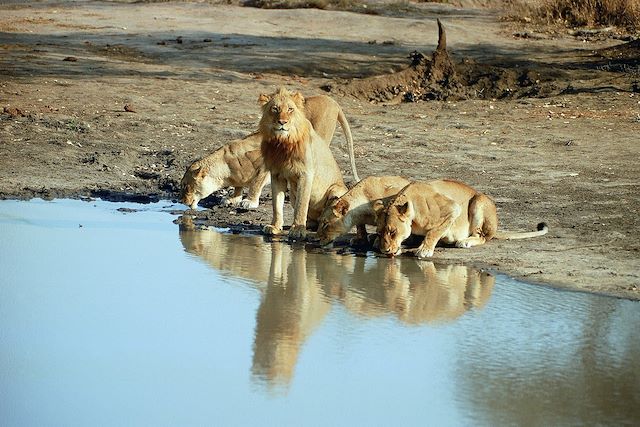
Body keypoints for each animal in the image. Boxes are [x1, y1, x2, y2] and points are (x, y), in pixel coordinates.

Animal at [258, 87, 352, 241]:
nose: (282, 122)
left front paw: (297, 230)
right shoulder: (277, 174)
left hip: (337, 190)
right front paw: (275, 227)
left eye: (290, 109)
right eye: (275, 109)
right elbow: (276, 204)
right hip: (293, 195)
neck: (282, 143)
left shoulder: (306, 174)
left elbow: (301, 205)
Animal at [376, 180, 552, 260]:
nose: (385, 251)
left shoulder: (452, 208)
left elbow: (434, 232)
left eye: (392, 231)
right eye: (379, 232)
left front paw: (424, 250)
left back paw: (465, 241)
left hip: (479, 200)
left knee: (482, 236)